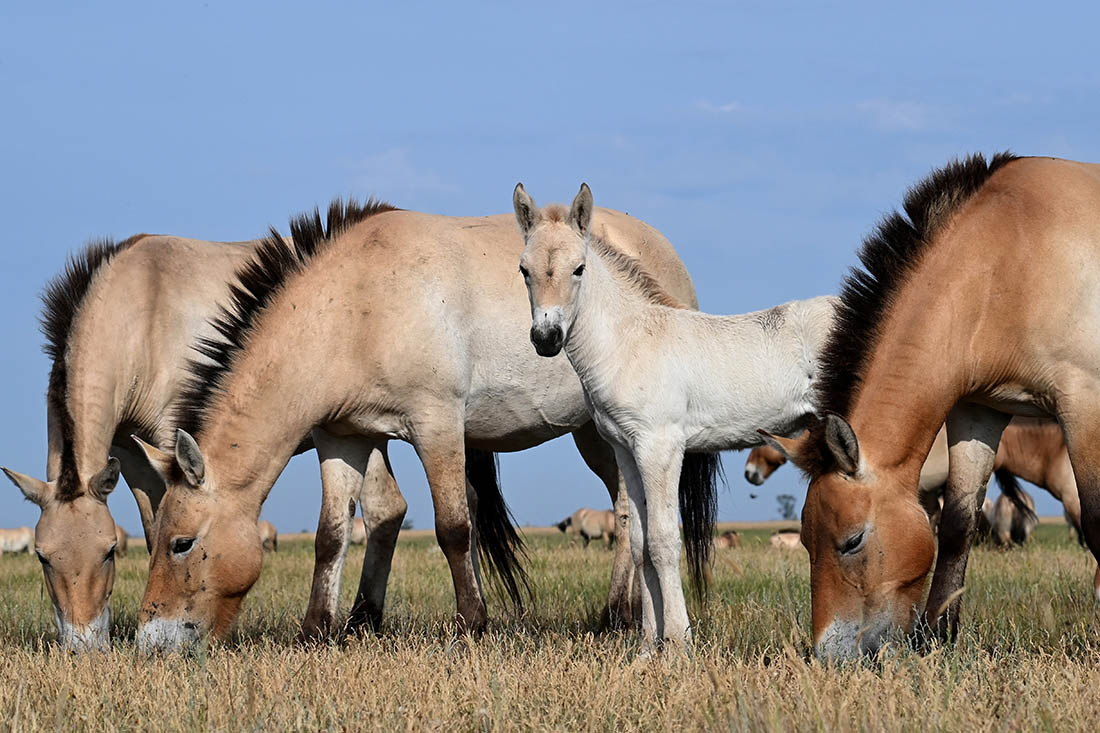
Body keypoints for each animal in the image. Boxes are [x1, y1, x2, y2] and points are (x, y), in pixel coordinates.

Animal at [131, 198, 698, 651]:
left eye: (182, 543)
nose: (150, 641)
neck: (356, 306)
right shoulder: (343, 439)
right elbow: (331, 535)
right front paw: (316, 631)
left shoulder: (437, 425)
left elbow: (453, 528)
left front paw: (473, 625)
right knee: (627, 508)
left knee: (624, 511)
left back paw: (617, 615)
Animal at [514, 182, 837, 651]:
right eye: (524, 269)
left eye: (579, 269)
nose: (546, 338)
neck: (629, 341)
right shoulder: (626, 450)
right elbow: (639, 541)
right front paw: (649, 646)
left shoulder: (660, 446)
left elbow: (664, 540)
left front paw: (680, 643)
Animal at [761, 153, 1100, 659]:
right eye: (804, 542)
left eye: (853, 541)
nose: (827, 656)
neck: (1012, 257)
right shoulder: (978, 411)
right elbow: (958, 524)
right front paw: (939, 637)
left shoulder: (1084, 404)